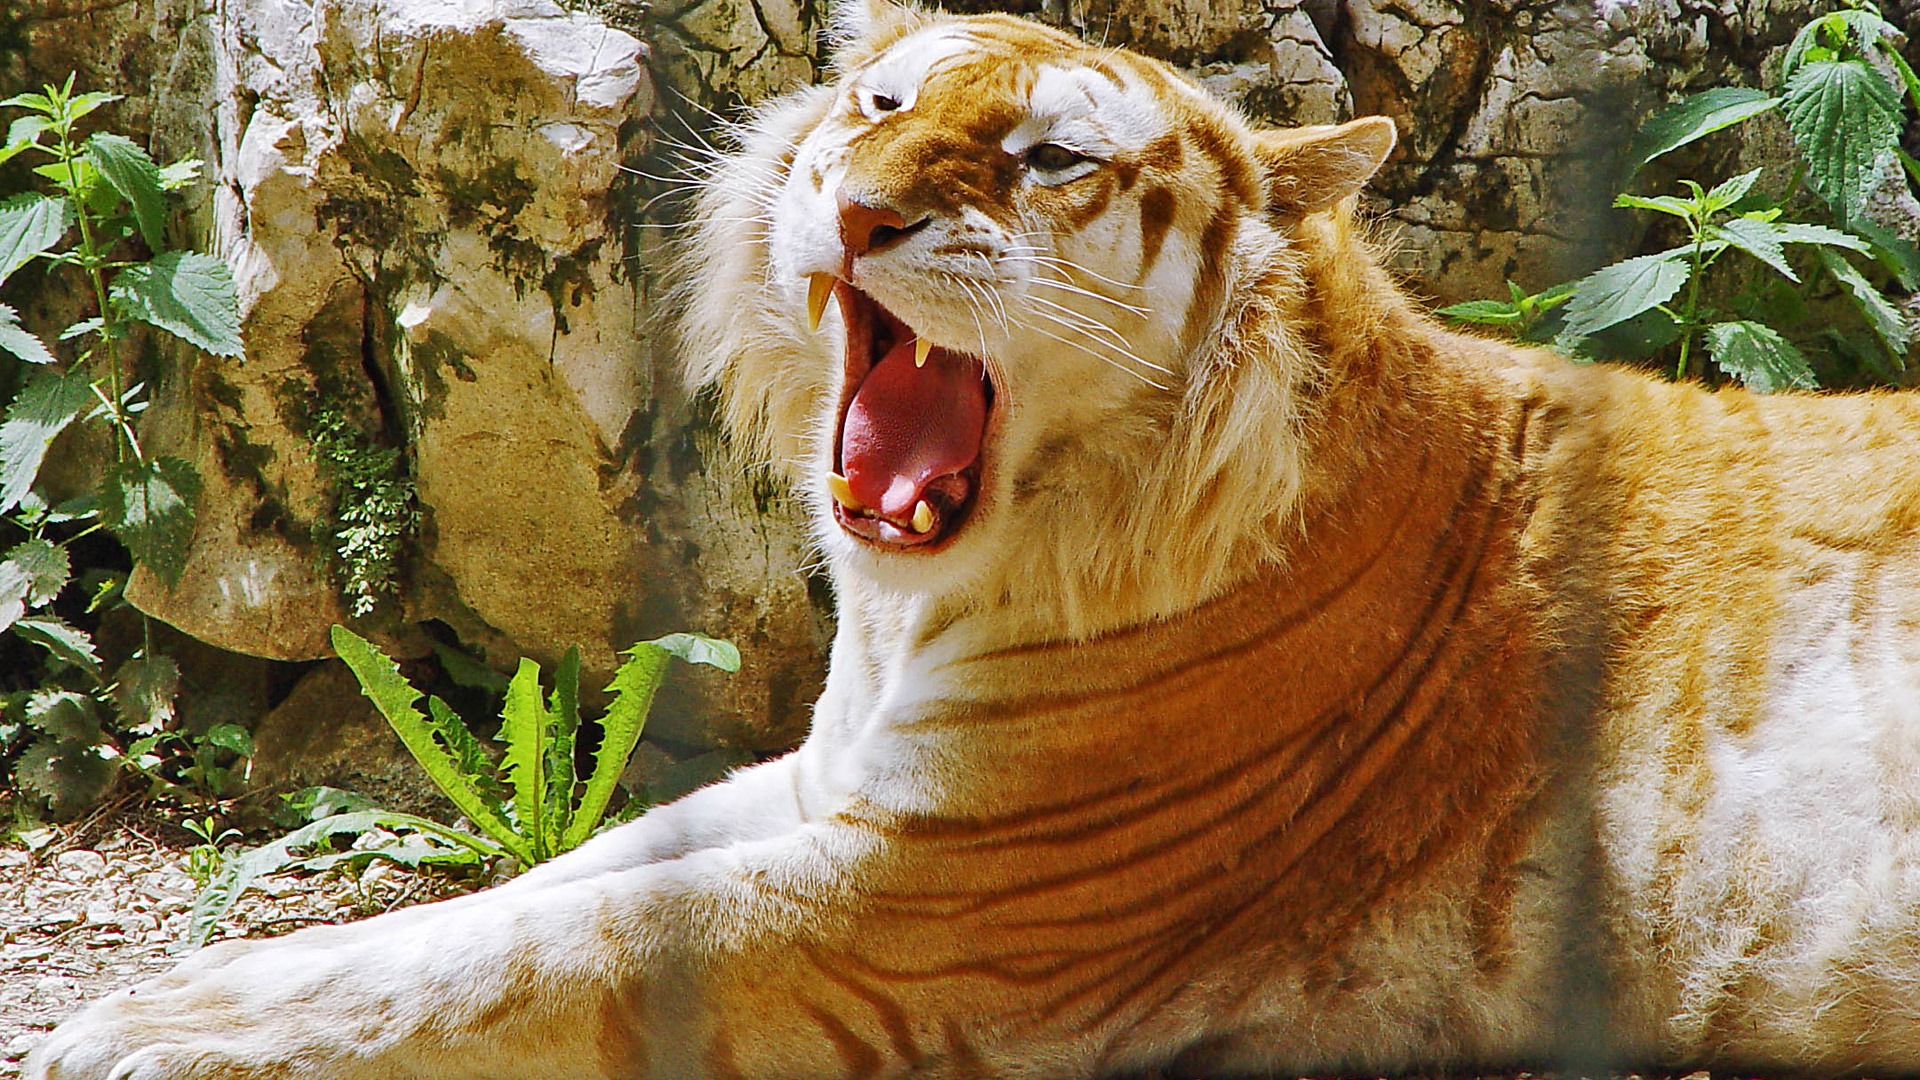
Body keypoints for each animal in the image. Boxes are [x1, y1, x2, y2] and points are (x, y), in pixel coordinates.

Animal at [29, 0, 1920, 1077]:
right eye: (877, 107)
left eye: (1050, 157)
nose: (860, 207)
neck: (919, 604)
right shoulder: (831, 789)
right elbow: (531, 894)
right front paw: (201, 989)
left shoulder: (935, 898)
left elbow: (542, 951)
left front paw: (140, 1033)